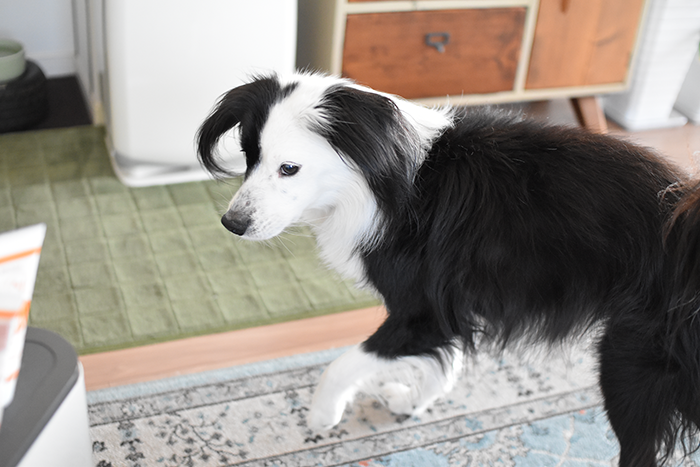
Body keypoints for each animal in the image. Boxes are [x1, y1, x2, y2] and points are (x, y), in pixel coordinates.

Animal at [196, 71, 700, 466]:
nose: (231, 224)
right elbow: (449, 361)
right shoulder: (448, 307)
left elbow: (343, 363)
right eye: (248, 155)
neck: (375, 181)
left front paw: (323, 414)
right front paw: (412, 404)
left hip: (629, 364)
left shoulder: (420, 311)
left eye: (289, 168)